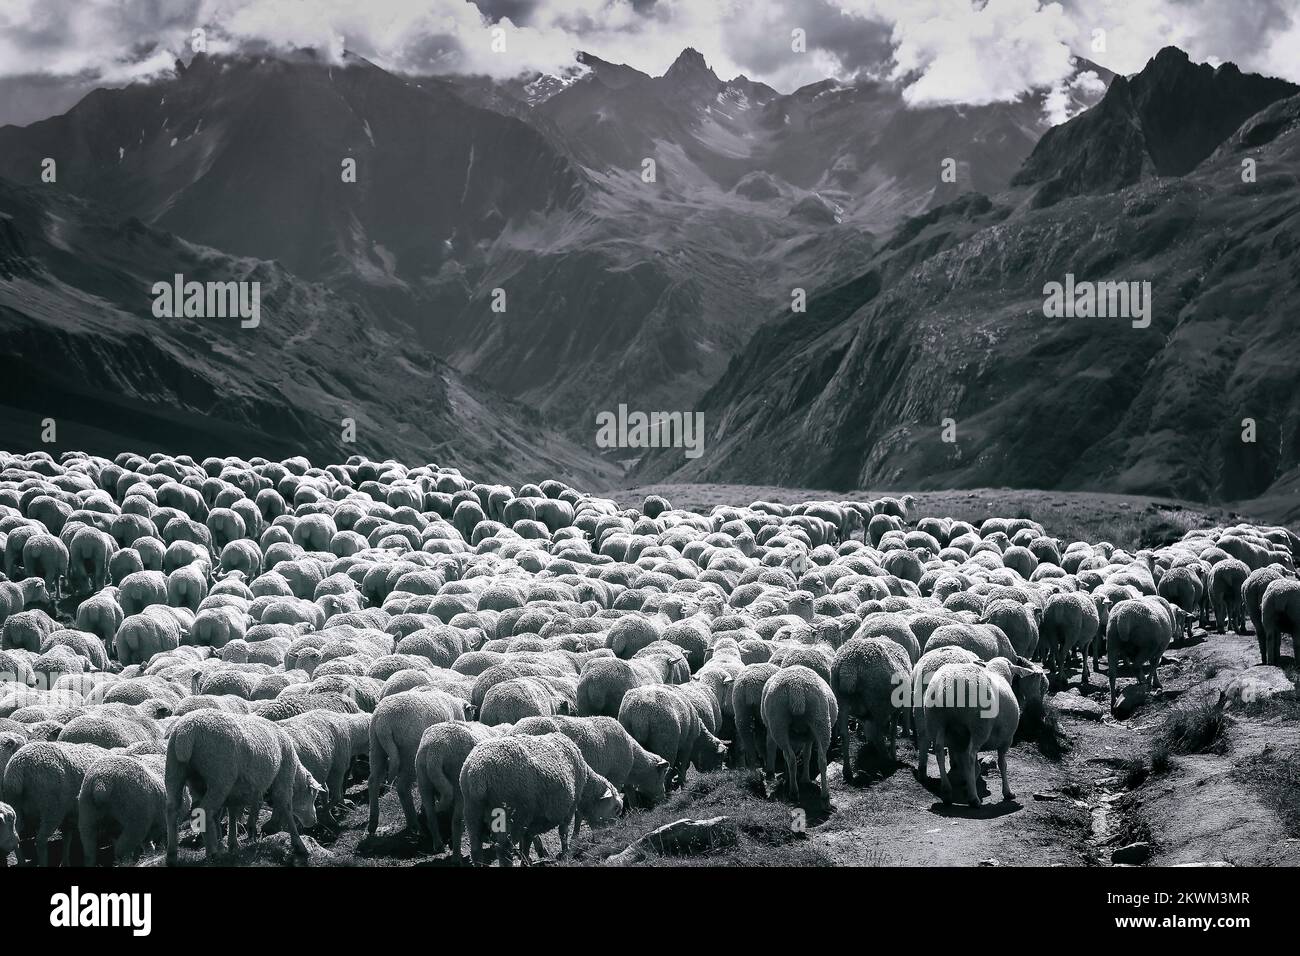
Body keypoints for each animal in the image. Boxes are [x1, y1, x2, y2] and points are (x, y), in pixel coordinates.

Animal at [162, 707, 325, 863]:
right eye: (312, 795)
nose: (314, 821)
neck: (295, 772)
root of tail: (186, 732)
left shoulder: (234, 791)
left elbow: (232, 813)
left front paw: (232, 844)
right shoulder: (283, 778)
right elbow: (287, 808)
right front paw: (299, 846)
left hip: (174, 770)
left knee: (172, 809)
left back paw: (172, 855)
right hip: (220, 777)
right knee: (205, 810)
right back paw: (212, 853)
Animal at [460, 733, 621, 868]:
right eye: (616, 808)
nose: (612, 836)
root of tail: (478, 773)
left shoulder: (531, 819)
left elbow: (526, 842)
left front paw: (526, 862)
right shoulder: (568, 808)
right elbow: (563, 832)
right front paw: (565, 854)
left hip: (472, 812)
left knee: (475, 849)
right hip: (510, 815)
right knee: (504, 850)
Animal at [759, 665, 837, 806]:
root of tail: (797, 688)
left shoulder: (771, 730)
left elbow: (774, 749)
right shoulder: (809, 736)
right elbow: (807, 754)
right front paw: (805, 778)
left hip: (778, 722)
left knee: (790, 758)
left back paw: (794, 792)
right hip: (820, 719)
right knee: (822, 759)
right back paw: (825, 795)